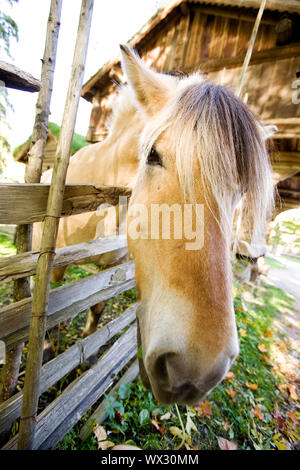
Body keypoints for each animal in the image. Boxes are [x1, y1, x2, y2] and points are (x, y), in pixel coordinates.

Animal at [32, 46, 274, 404]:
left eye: (242, 189)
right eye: (153, 156)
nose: (197, 368)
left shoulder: (115, 265)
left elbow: (98, 306)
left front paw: (88, 354)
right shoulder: (56, 258)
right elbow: (50, 307)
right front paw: (48, 349)